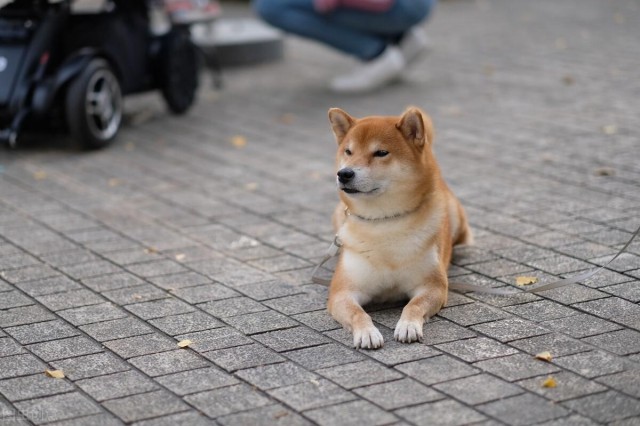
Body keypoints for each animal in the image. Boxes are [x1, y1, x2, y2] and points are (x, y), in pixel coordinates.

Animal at [328, 106, 472, 350]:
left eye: (380, 153)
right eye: (348, 151)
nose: (344, 173)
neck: (385, 222)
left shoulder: (432, 285)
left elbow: (413, 305)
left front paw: (408, 326)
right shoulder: (342, 290)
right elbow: (358, 313)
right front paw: (367, 332)